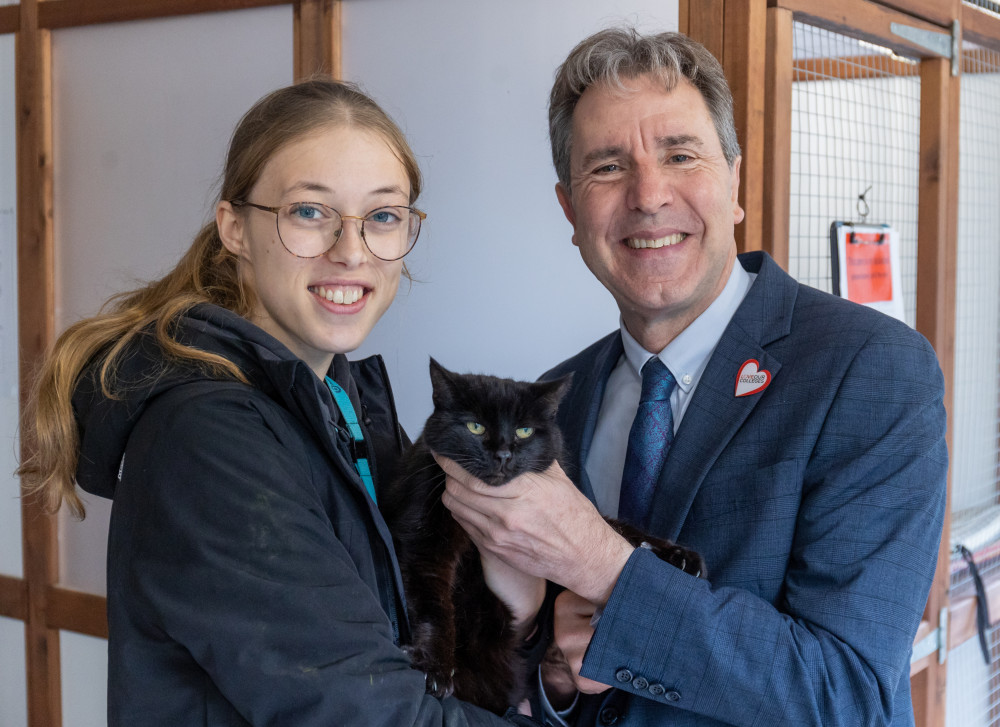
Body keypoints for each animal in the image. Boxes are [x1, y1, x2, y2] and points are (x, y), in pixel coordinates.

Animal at [382, 362, 704, 712]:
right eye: (475, 427)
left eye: (524, 431)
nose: (503, 454)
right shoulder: (424, 539)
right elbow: (434, 606)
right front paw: (435, 666)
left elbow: (618, 528)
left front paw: (677, 555)